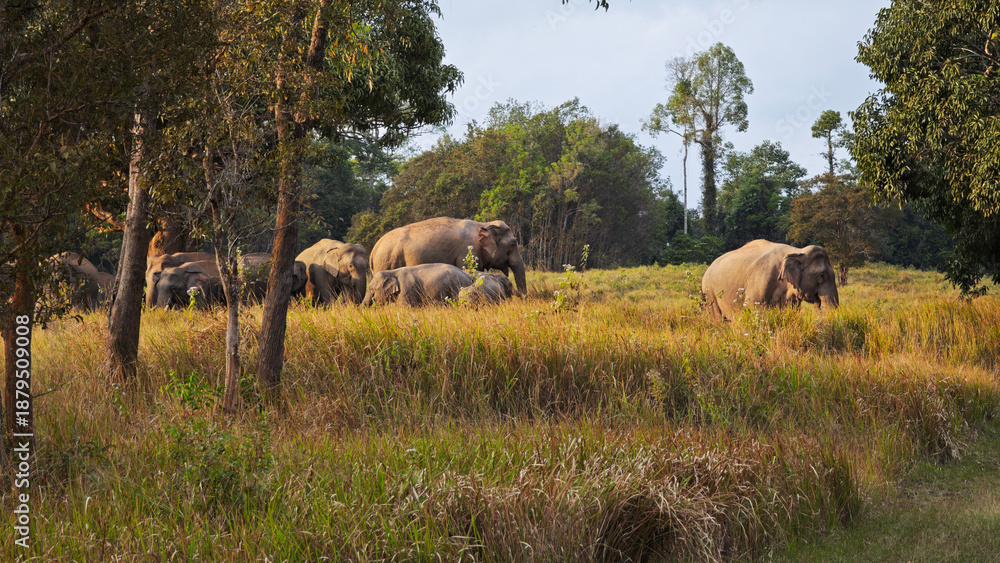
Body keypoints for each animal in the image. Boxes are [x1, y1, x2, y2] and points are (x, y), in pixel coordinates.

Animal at [369, 217, 526, 296]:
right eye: (512, 244)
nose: (524, 297)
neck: (483, 224)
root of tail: (373, 250)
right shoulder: (467, 249)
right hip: (387, 261)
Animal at [702, 239, 840, 321]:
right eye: (821, 276)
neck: (797, 251)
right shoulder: (761, 279)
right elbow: (753, 306)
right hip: (709, 293)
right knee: (717, 319)